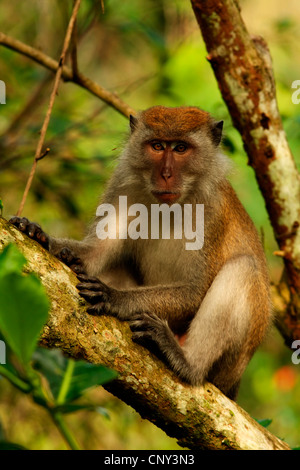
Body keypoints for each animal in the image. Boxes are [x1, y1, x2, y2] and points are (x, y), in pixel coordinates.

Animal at [9, 105, 272, 400]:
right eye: (157, 146)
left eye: (181, 148)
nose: (166, 174)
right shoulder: (123, 187)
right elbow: (96, 253)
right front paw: (40, 236)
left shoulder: (213, 213)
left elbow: (195, 291)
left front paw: (114, 297)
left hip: (230, 365)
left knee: (244, 267)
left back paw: (187, 362)